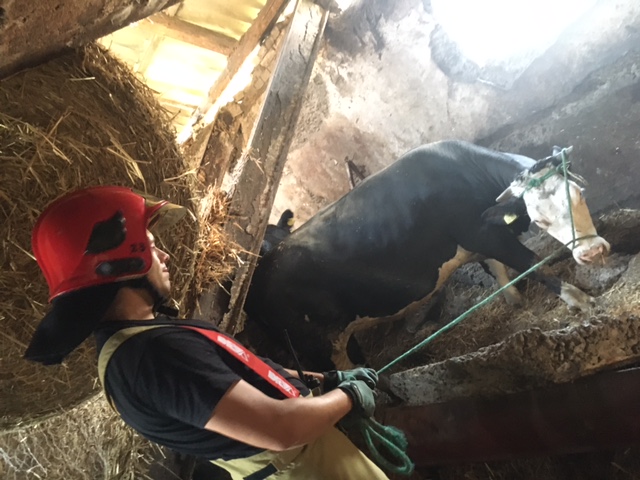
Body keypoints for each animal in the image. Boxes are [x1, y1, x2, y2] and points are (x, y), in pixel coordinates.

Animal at [244, 140, 610, 371]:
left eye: (578, 193)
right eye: (540, 219)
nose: (592, 252)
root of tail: (258, 273)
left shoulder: (480, 238)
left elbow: (498, 270)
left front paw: (514, 301)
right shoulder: (482, 233)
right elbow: (531, 264)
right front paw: (580, 300)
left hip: (340, 335)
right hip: (315, 346)